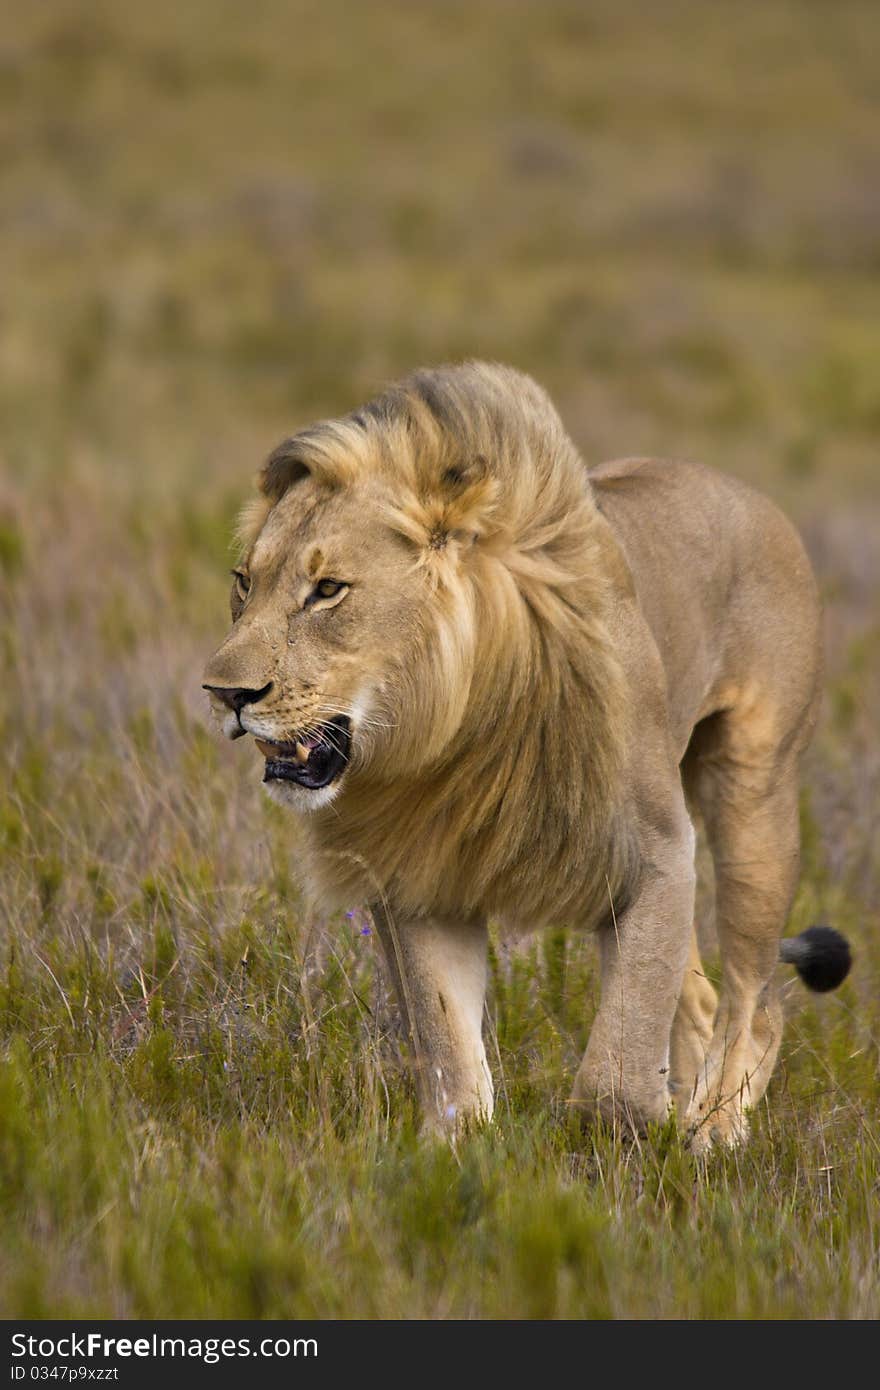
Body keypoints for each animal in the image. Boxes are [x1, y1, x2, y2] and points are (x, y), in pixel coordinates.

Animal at [202, 361, 845, 1150]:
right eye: (244, 582)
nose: (225, 694)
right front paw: (456, 1153)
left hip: (753, 793)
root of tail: (752, 496)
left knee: (756, 998)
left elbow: (615, 1068)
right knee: (699, 996)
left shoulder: (657, 851)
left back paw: (715, 1133)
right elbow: (450, 1047)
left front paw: (626, 1141)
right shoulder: (423, 870)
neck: (457, 725)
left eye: (328, 590)